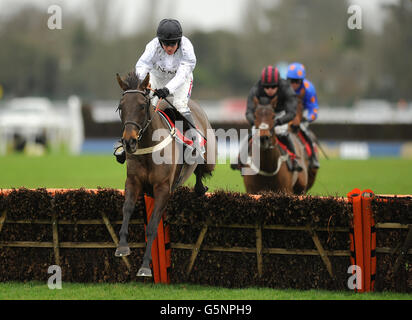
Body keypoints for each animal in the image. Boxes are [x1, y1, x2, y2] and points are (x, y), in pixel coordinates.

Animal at [112, 71, 216, 276]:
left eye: (142, 106)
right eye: (121, 107)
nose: (129, 142)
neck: (149, 148)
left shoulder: (162, 188)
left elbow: (153, 226)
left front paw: (145, 266)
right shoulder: (133, 182)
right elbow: (127, 210)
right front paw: (122, 247)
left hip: (209, 156)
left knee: (201, 168)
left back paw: (200, 186)